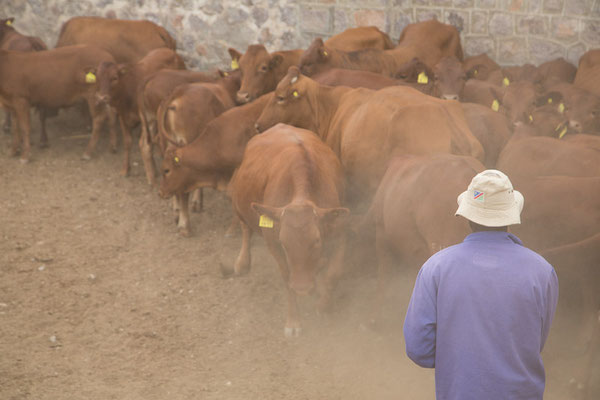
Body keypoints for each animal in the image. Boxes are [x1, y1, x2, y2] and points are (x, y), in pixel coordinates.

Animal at [94, 47, 185, 175]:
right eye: (97, 78)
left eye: (114, 78)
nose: (102, 97)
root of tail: (169, 51)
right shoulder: (122, 116)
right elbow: (128, 142)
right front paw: (125, 169)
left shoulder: (144, 119)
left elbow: (147, 142)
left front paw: (153, 168)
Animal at [231, 123, 352, 336]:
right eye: (284, 243)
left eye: (316, 241)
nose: (302, 288)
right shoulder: (272, 242)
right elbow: (287, 276)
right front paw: (293, 320)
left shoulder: (340, 229)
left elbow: (334, 273)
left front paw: (323, 303)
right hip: (240, 204)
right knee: (245, 228)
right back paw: (242, 262)